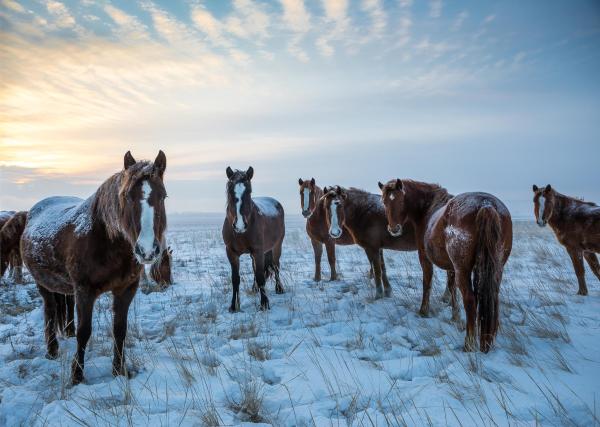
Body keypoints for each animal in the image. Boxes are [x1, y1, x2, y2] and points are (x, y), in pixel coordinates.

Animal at [22, 150, 168, 384]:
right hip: (43, 283)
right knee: (50, 310)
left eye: (163, 196)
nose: (147, 250)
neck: (107, 240)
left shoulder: (126, 289)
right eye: (127, 196)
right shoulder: (85, 291)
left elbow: (120, 330)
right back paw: (52, 350)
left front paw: (119, 370)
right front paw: (77, 375)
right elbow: (84, 332)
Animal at [223, 166, 286, 310]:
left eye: (249, 191)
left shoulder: (258, 251)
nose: (240, 225)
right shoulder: (231, 253)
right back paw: (255, 288)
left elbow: (260, 276)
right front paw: (234, 306)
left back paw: (279, 288)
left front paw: (264, 303)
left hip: (276, 246)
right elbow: (235, 279)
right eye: (230, 190)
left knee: (276, 266)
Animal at [380, 179, 510, 352]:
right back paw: (487, 340)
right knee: (492, 298)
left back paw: (469, 344)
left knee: (470, 300)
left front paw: (423, 311)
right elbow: (451, 287)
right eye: (384, 202)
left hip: (463, 270)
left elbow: (427, 283)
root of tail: (486, 204)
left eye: (401, 200)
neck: (428, 210)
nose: (394, 229)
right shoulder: (451, 267)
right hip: (495, 269)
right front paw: (455, 316)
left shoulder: (425, 258)